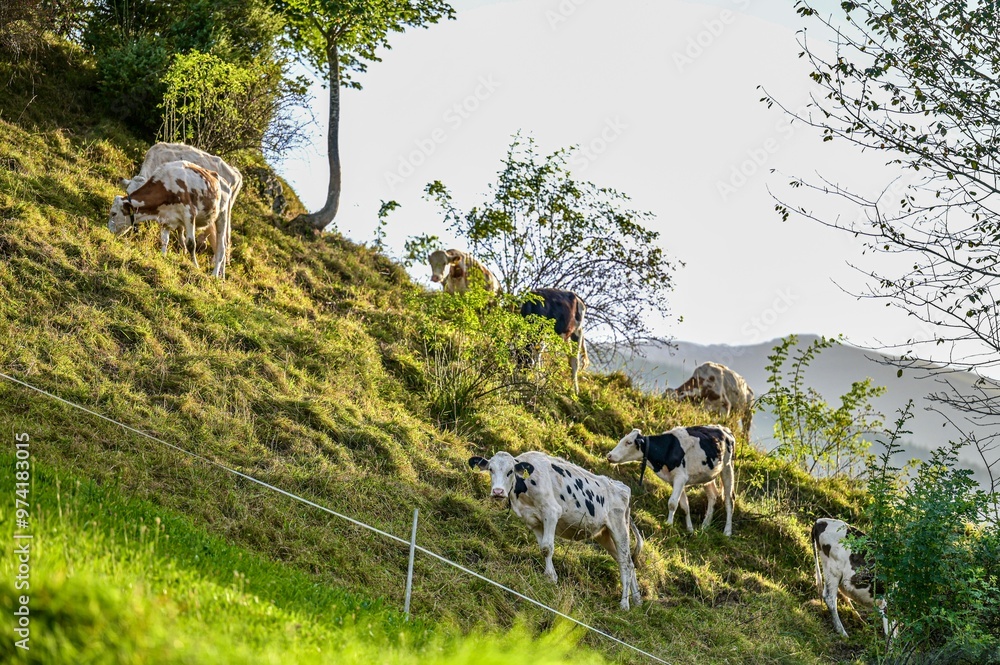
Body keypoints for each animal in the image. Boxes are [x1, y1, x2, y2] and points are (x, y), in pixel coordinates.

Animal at [123, 143, 243, 275]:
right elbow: (179, 228)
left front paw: (184, 248)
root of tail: (235, 172)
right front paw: (183, 247)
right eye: (128, 192)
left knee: (223, 241)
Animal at [468, 450, 643, 610]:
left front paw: (551, 577)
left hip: (619, 528)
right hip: (604, 534)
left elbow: (547, 547)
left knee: (626, 563)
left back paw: (624, 604)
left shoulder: (551, 512)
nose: (498, 491)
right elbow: (542, 548)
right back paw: (637, 600)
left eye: (510, 471)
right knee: (627, 562)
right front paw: (549, 574)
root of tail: (622, 486)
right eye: (491, 469)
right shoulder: (533, 521)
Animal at [606, 425, 735, 536]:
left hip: (727, 468)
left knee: (729, 500)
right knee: (713, 495)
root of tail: (724, 429)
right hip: (707, 475)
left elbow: (672, 503)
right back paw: (705, 525)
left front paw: (668, 524)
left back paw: (727, 532)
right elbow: (684, 505)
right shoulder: (675, 480)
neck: (668, 449)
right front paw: (690, 529)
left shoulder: (680, 477)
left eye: (628, 442)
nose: (609, 455)